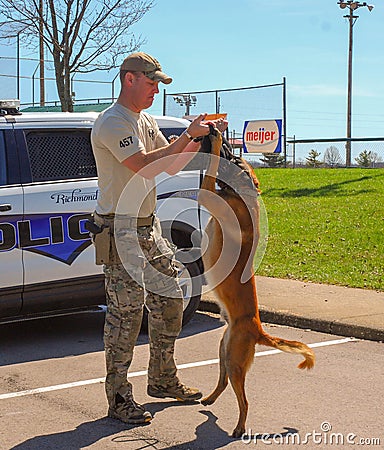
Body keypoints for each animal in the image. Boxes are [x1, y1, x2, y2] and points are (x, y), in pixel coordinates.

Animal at [198, 128, 316, 438]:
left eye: (233, 156)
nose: (217, 131)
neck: (243, 194)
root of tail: (258, 329)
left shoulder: (207, 193)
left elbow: (208, 176)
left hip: (235, 362)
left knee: (245, 401)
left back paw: (239, 427)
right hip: (224, 351)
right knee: (223, 383)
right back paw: (210, 400)